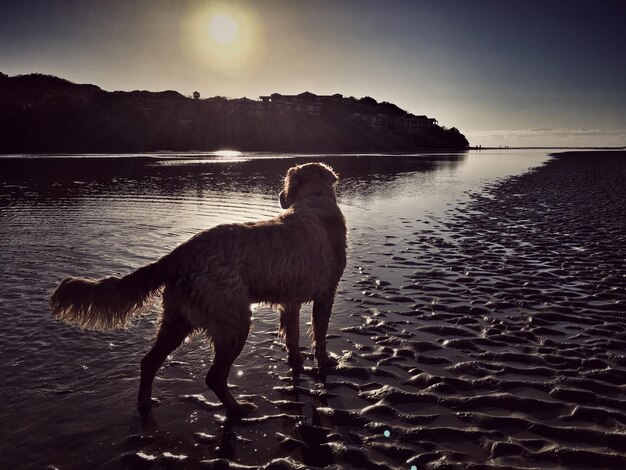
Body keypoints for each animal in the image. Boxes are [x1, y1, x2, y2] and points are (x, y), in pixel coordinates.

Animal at [50, 163, 346, 416]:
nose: (280, 195)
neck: (315, 200)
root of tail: (179, 253)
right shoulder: (325, 293)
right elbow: (320, 334)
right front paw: (324, 361)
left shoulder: (290, 301)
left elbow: (293, 337)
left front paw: (297, 360)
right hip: (234, 322)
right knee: (214, 376)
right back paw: (237, 409)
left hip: (178, 319)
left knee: (149, 362)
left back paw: (146, 403)